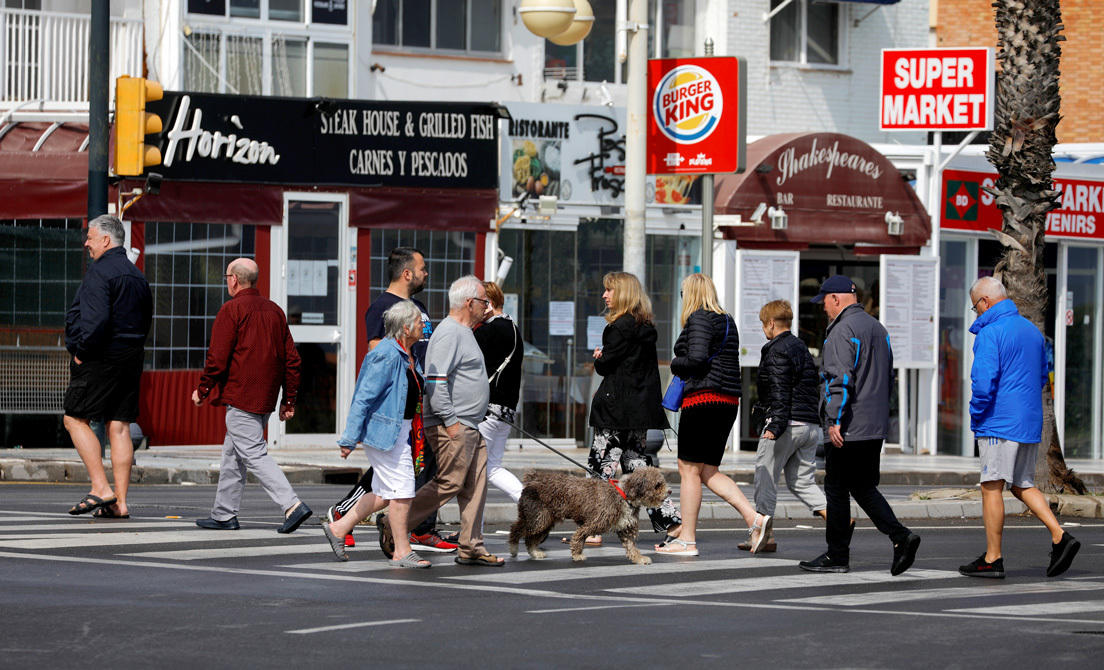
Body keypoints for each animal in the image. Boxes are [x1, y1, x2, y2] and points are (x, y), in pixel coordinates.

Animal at [507, 467, 669, 565]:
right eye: (657, 485)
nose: (670, 491)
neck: (624, 495)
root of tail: (534, 478)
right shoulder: (594, 523)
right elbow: (579, 536)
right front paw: (577, 554)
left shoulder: (626, 528)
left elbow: (631, 546)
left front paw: (639, 558)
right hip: (538, 518)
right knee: (516, 528)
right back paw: (514, 548)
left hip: (546, 520)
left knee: (530, 538)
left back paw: (535, 552)